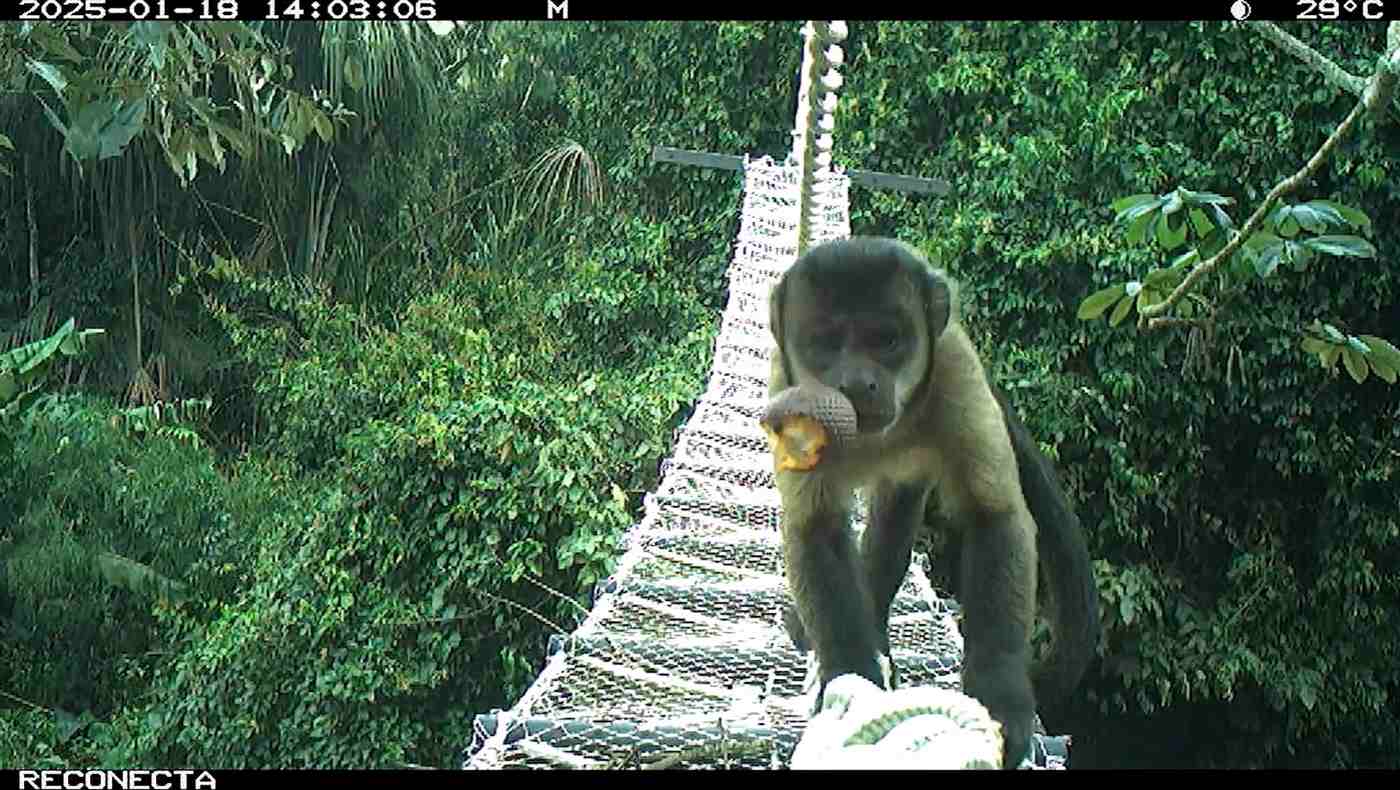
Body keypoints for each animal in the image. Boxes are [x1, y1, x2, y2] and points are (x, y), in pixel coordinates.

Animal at [765, 236, 1100, 768]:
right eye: (824, 343)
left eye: (886, 340)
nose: (856, 384)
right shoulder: (791, 394)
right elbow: (814, 527)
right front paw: (851, 679)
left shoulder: (955, 370)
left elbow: (994, 516)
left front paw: (1001, 699)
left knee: (897, 512)